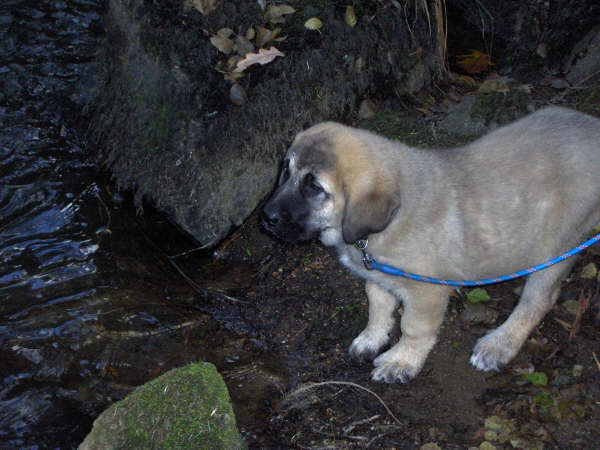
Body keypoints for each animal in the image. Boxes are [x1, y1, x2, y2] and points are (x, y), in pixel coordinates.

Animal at [262, 106, 600, 384]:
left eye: (314, 187)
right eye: (286, 170)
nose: (266, 217)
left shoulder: (427, 290)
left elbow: (414, 327)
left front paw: (401, 361)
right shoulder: (379, 276)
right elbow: (378, 306)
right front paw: (372, 338)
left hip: (556, 245)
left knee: (538, 299)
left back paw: (499, 344)